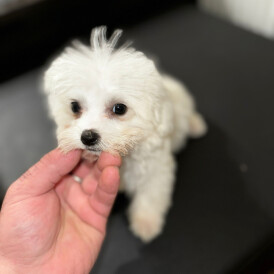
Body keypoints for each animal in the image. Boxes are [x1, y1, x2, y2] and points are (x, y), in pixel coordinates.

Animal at [43, 26, 206, 243]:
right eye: (75, 107)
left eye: (119, 108)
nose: (88, 137)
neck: (126, 154)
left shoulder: (156, 168)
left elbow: (151, 195)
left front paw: (146, 223)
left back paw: (196, 125)